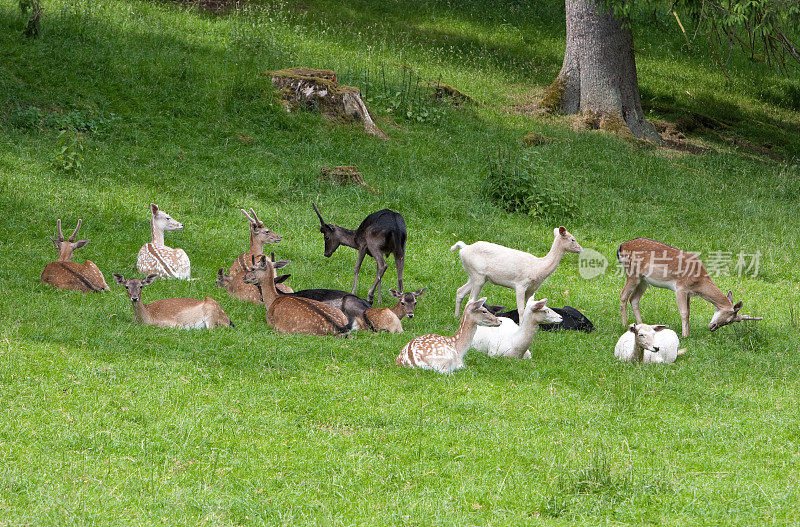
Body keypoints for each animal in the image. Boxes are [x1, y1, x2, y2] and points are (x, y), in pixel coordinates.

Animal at [454, 226, 584, 318]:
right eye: (573, 239)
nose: (581, 249)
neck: (538, 267)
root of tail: (463, 249)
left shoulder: (531, 289)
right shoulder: (521, 284)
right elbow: (521, 310)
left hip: (476, 276)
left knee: (460, 291)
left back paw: (456, 317)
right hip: (478, 275)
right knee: (470, 300)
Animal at [620, 239, 764, 338]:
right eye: (729, 321)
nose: (712, 327)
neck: (698, 283)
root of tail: (621, 248)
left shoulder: (689, 293)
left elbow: (689, 312)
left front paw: (688, 333)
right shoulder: (680, 288)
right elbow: (683, 312)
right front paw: (684, 335)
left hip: (644, 281)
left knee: (634, 299)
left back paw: (642, 326)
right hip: (633, 274)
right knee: (623, 295)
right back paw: (624, 324)